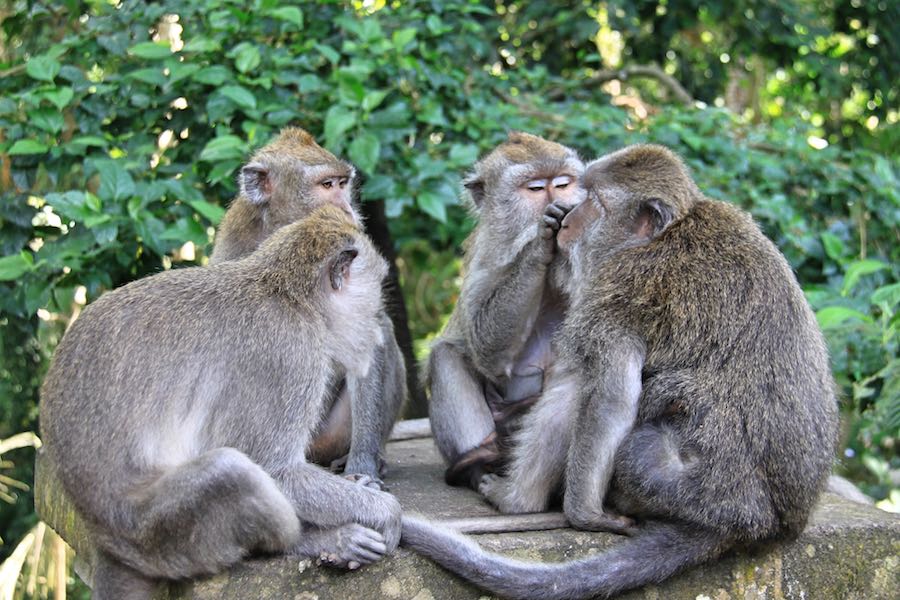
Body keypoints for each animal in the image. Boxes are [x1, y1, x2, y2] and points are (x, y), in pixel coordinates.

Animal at [209, 127, 406, 488]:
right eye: (326, 185)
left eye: (343, 183)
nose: (348, 209)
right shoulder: (232, 250)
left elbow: (368, 331)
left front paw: (363, 466)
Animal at [428, 130, 588, 488]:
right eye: (535, 189)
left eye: (563, 183)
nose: (559, 203)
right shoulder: (487, 254)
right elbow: (486, 349)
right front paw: (540, 243)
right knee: (446, 356)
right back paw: (481, 466)